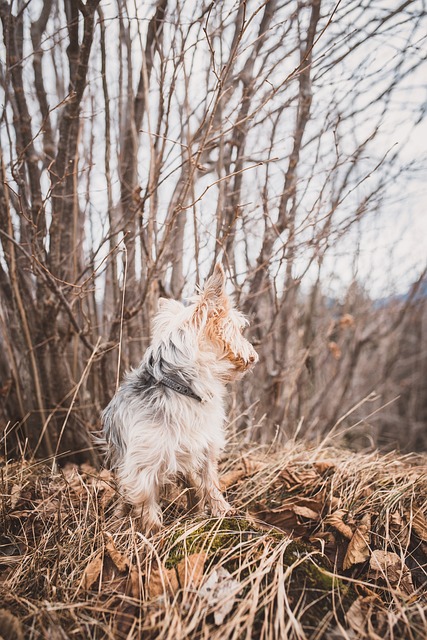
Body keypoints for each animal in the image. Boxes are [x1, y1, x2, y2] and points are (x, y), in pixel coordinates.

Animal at [102, 262, 260, 532]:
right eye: (239, 330)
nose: (254, 354)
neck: (182, 389)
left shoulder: (206, 445)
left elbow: (209, 479)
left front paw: (221, 510)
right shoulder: (142, 465)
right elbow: (146, 502)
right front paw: (155, 533)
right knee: (126, 495)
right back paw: (118, 518)